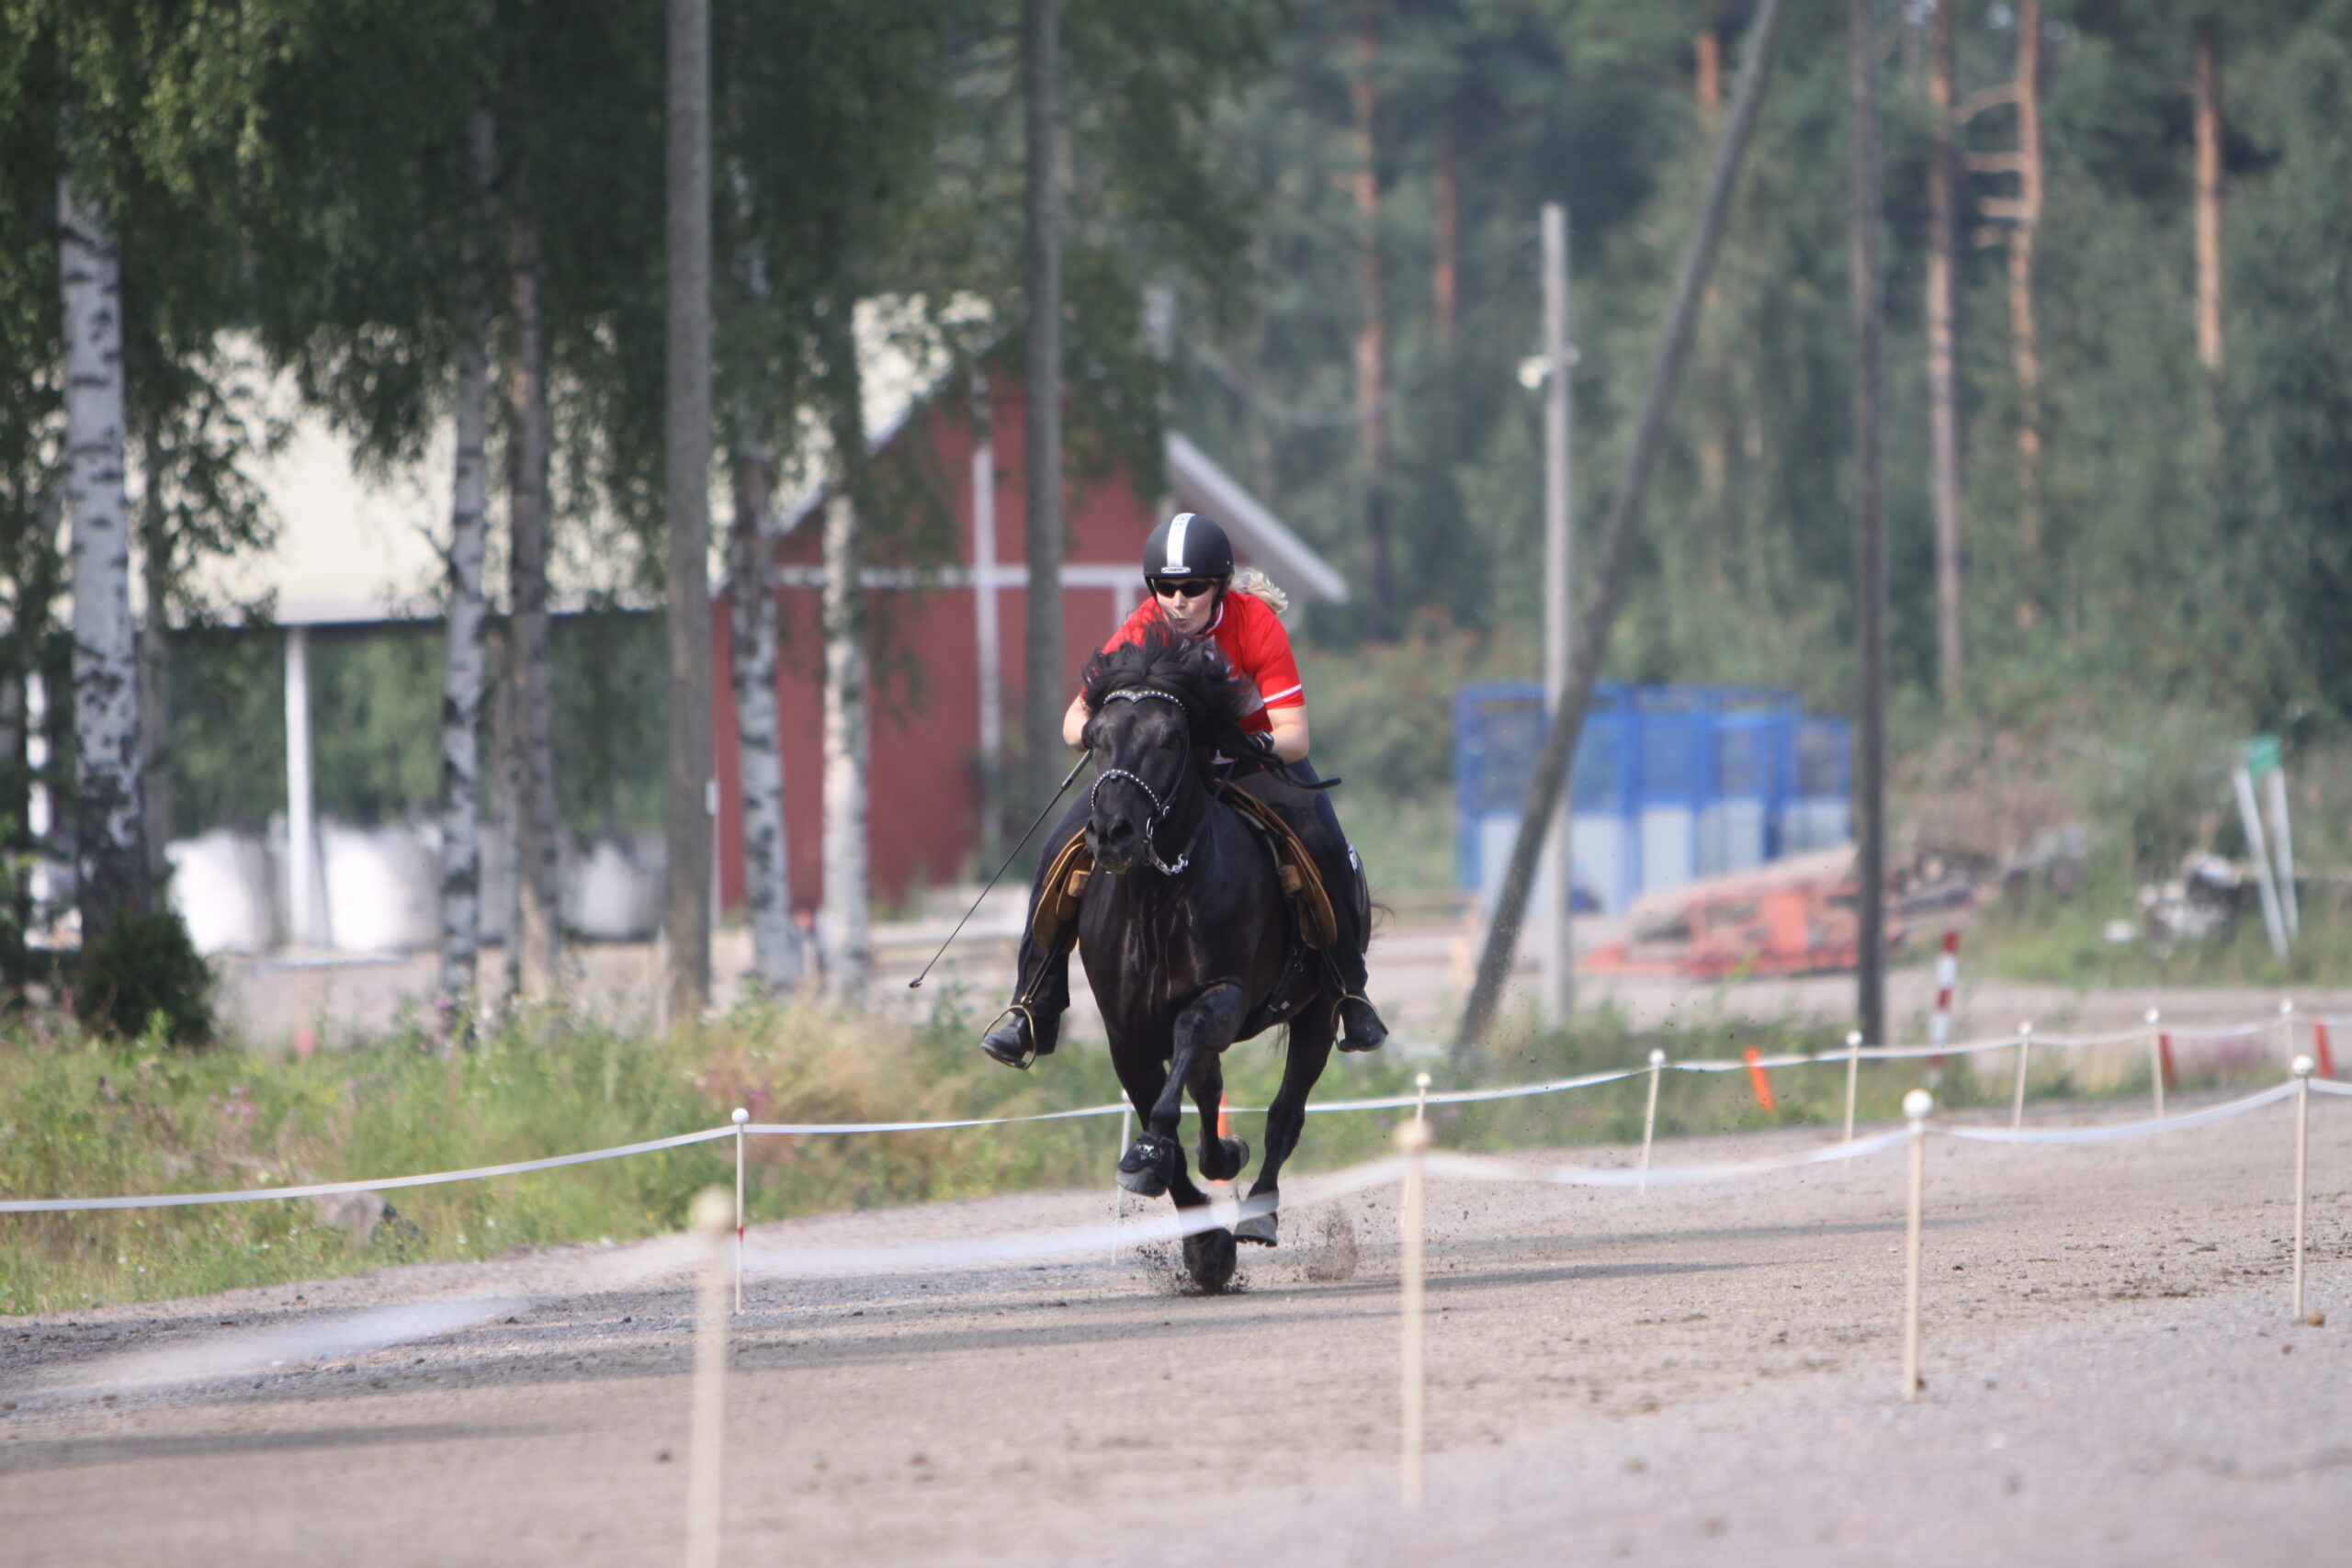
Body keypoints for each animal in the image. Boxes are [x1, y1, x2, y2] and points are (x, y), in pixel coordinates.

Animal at [1077, 625, 1345, 1288]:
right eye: (1095, 739)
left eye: (1171, 738)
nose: (1113, 832)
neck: (1158, 895)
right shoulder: (1125, 1032)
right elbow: (1165, 1104)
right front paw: (1201, 1241)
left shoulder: (1222, 995)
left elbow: (1190, 1046)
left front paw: (1157, 1152)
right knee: (1210, 1083)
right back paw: (1221, 1160)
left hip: (1320, 1011)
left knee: (1285, 1111)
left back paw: (1259, 1212)